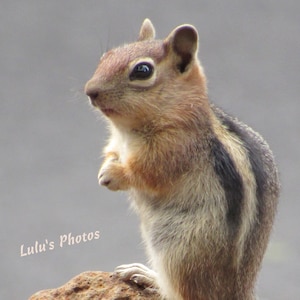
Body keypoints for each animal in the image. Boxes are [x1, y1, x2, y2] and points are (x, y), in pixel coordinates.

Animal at [84, 18, 278, 300]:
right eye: (106, 56)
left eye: (142, 70)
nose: (90, 91)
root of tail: (237, 290)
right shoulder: (116, 143)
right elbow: (112, 152)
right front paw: (105, 167)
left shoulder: (173, 150)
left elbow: (146, 173)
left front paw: (112, 175)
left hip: (180, 253)